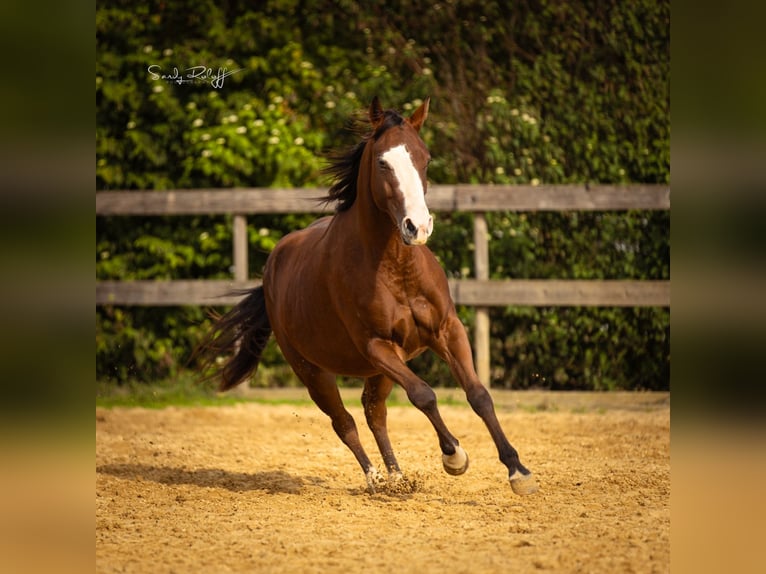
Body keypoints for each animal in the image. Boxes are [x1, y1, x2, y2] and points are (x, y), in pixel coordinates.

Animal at [197, 97, 538, 495]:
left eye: (425, 158)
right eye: (382, 162)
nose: (418, 227)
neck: (395, 268)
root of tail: (273, 265)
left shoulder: (446, 331)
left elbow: (478, 394)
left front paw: (518, 470)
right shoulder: (376, 345)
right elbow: (424, 394)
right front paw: (454, 456)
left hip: (381, 368)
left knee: (374, 412)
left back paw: (397, 478)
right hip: (312, 370)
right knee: (344, 421)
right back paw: (375, 478)